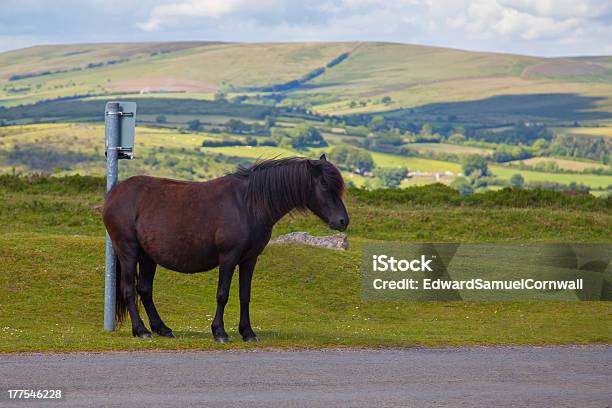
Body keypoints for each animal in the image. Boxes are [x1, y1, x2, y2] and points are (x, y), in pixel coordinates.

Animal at [103, 155, 346, 342]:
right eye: (324, 185)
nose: (343, 221)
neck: (247, 204)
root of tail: (113, 195)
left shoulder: (249, 259)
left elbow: (245, 295)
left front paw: (247, 332)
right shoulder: (228, 258)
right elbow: (223, 294)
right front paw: (219, 332)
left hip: (147, 256)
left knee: (144, 289)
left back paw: (162, 328)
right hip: (128, 250)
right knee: (129, 289)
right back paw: (141, 330)